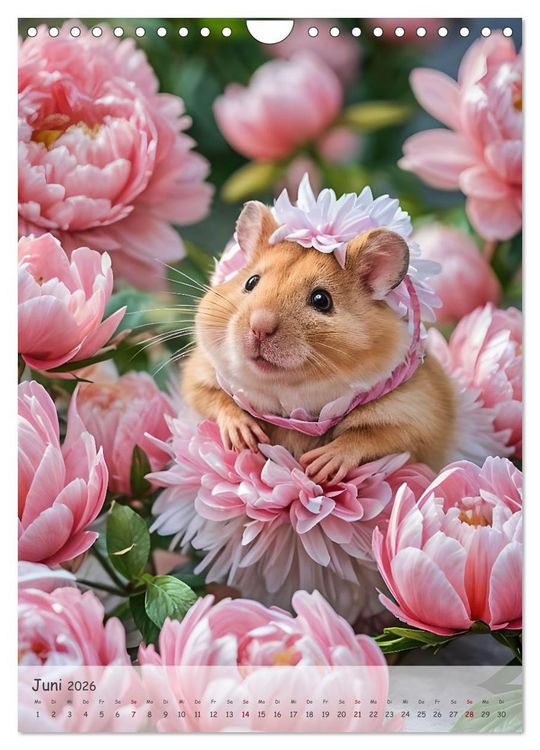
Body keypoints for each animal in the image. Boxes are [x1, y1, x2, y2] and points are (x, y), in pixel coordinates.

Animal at [182, 200, 456, 482]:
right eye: (251, 282)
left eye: (321, 300)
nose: (259, 327)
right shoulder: (199, 375)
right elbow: (216, 399)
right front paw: (245, 438)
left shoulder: (418, 417)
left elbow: (369, 436)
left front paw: (315, 467)